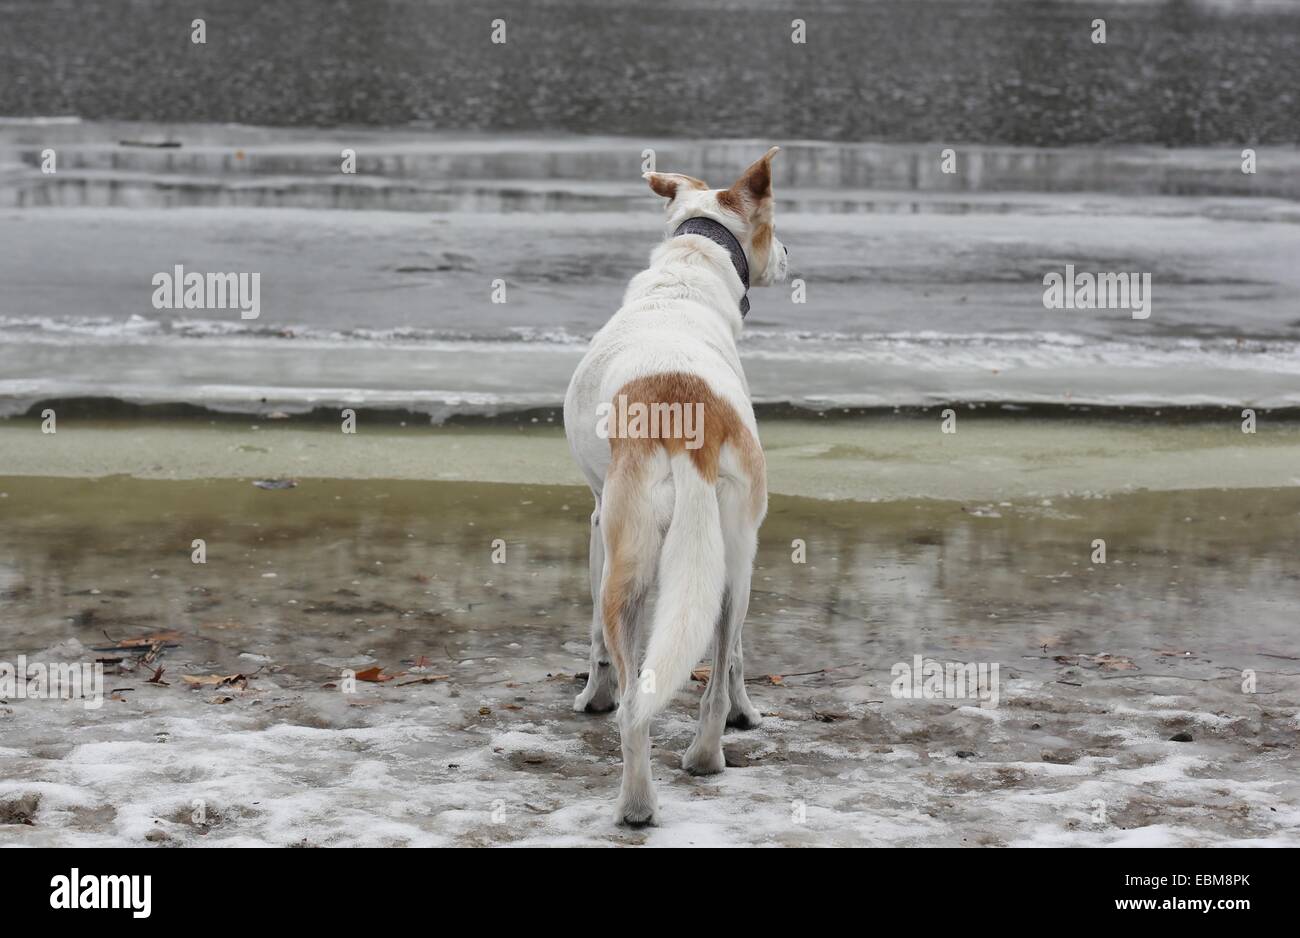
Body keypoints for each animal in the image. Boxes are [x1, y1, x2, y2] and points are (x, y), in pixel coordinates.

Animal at [564, 144, 785, 821]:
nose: (789, 256)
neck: (688, 270)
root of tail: (692, 424)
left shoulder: (595, 523)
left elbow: (594, 642)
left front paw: (593, 695)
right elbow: (730, 660)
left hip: (630, 559)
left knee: (639, 695)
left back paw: (646, 794)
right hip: (734, 561)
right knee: (716, 667)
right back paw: (694, 765)